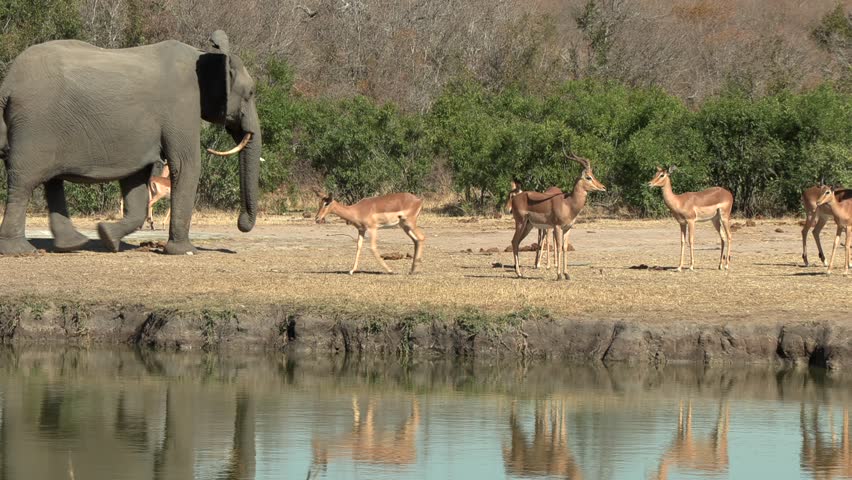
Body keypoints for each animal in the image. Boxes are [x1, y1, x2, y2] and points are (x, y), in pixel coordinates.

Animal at [0, 30, 261, 255]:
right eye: (250, 93)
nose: (241, 224)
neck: (206, 55)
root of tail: (8, 83)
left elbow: (136, 178)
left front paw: (107, 236)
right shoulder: (181, 104)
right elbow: (186, 164)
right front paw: (184, 251)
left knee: (52, 181)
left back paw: (73, 244)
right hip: (35, 124)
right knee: (24, 181)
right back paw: (20, 250)